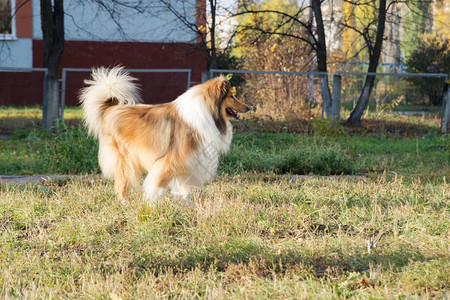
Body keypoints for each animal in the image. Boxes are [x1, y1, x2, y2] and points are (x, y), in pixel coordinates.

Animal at [80, 67, 250, 205]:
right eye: (231, 96)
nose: (248, 107)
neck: (207, 113)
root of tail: (112, 108)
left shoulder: (188, 160)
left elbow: (184, 188)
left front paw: (188, 205)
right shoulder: (168, 161)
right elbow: (159, 186)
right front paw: (153, 205)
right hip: (125, 159)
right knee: (122, 182)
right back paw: (124, 202)